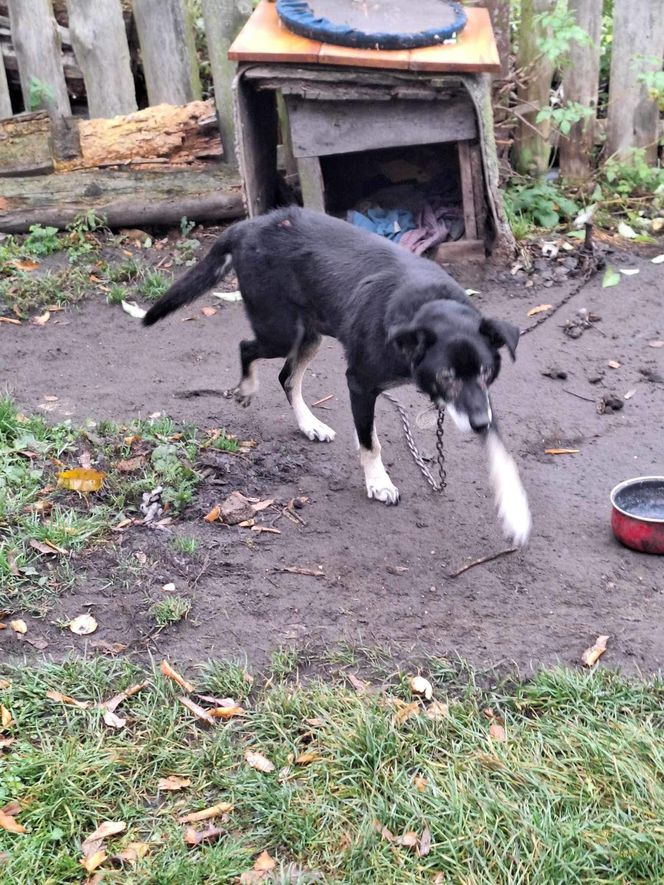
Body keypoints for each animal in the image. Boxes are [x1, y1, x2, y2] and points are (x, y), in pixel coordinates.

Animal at [147, 207, 536, 544]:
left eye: (486, 372)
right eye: (445, 376)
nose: (479, 425)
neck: (424, 306)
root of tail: (250, 225)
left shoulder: (479, 401)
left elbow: (501, 452)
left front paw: (515, 510)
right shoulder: (360, 384)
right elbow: (370, 442)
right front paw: (378, 483)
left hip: (309, 334)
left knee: (287, 377)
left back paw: (310, 425)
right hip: (280, 332)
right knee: (247, 348)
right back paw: (247, 389)